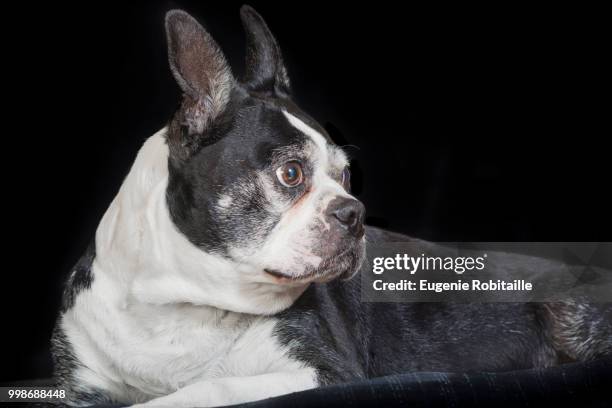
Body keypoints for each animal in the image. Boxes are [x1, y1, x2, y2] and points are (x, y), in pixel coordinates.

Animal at [50, 6, 608, 408]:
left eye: (345, 177)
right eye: (291, 173)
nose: (353, 212)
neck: (182, 305)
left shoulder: (323, 371)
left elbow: (208, 388)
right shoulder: (77, 386)